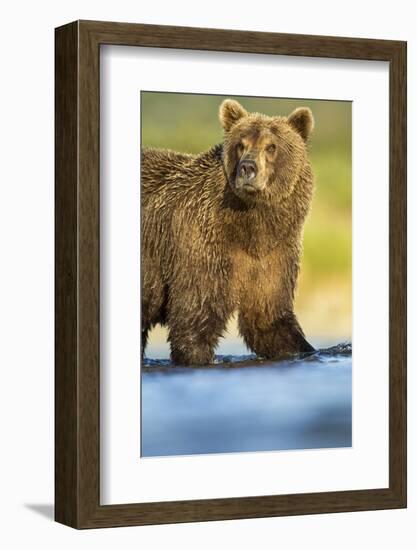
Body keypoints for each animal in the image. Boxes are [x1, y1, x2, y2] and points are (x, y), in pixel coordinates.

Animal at [141, 99, 314, 366]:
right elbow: (195, 317)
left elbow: (269, 319)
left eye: (271, 146)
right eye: (241, 144)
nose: (247, 168)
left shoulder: (274, 252)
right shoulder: (200, 245)